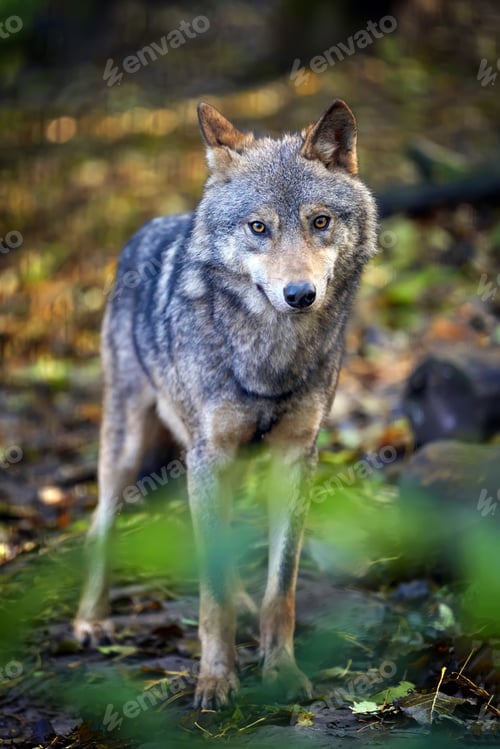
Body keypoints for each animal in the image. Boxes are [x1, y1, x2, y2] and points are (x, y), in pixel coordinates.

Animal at [74, 99, 377, 709]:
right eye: (258, 227)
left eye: (320, 222)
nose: (300, 295)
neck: (268, 355)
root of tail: (152, 225)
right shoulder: (208, 455)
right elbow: (209, 592)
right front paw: (216, 680)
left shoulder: (295, 456)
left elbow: (280, 586)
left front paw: (280, 670)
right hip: (130, 450)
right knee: (99, 524)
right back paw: (91, 621)